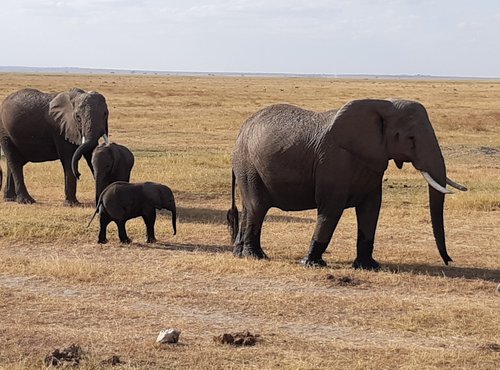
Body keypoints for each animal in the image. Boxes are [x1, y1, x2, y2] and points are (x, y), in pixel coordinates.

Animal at [229, 99, 466, 270]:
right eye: (410, 139)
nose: (449, 261)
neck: (383, 106)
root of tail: (241, 130)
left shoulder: (373, 162)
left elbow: (371, 209)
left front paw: (369, 266)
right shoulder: (333, 162)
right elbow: (331, 209)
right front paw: (312, 264)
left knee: (249, 209)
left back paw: (239, 254)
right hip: (249, 166)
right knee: (257, 208)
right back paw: (256, 256)